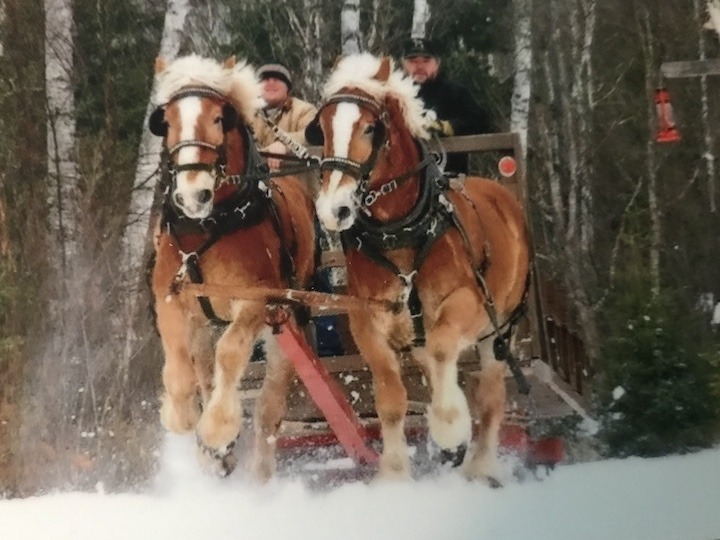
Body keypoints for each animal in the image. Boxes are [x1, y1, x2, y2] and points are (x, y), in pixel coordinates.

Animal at [148, 52, 314, 478]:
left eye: (219, 119)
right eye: (165, 121)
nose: (192, 195)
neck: (209, 225)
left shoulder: (255, 300)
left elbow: (231, 353)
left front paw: (219, 426)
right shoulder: (170, 297)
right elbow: (178, 364)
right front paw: (183, 418)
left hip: (285, 325)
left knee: (270, 409)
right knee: (204, 369)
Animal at [314, 54, 528, 486]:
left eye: (370, 127)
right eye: (324, 126)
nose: (334, 209)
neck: (400, 233)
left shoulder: (466, 302)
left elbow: (445, 348)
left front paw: (449, 430)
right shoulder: (369, 322)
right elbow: (391, 399)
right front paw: (395, 472)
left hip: (499, 327)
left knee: (490, 395)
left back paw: (478, 463)